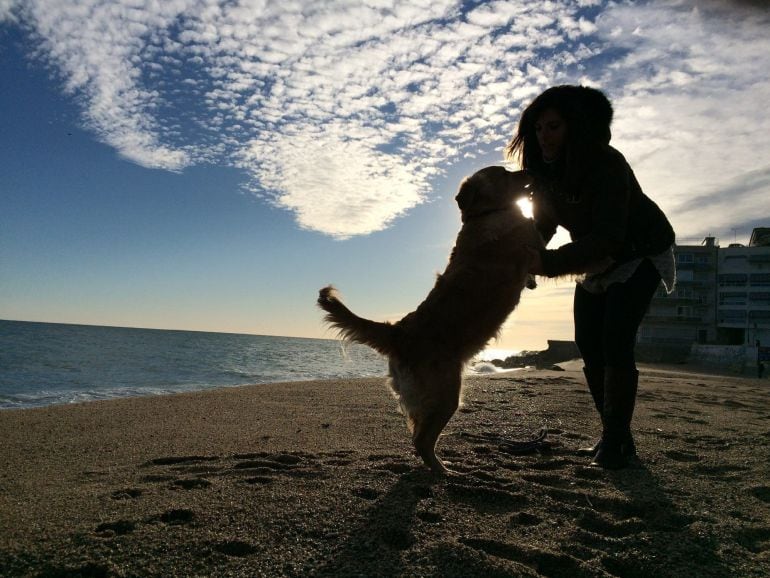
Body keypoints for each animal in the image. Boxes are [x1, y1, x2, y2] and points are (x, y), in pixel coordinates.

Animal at [316, 165, 540, 472]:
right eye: (505, 172)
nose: (529, 170)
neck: (484, 215)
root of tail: (398, 332)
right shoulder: (526, 240)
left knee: (416, 434)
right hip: (446, 395)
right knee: (422, 440)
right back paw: (443, 470)